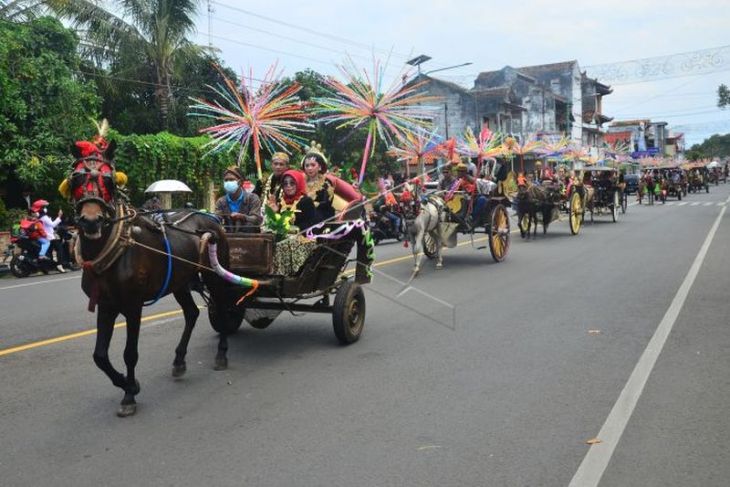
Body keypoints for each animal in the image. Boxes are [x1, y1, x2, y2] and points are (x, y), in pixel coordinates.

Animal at [64, 139, 236, 418]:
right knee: (192, 313)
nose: (91, 221)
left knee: (220, 308)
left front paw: (129, 395)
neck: (117, 247)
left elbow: (129, 353)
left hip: (214, 275)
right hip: (180, 281)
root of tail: (211, 218)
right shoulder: (106, 304)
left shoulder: (133, 305)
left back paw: (221, 354)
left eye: (109, 180)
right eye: (76, 177)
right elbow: (100, 356)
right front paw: (129, 383)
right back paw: (179, 360)